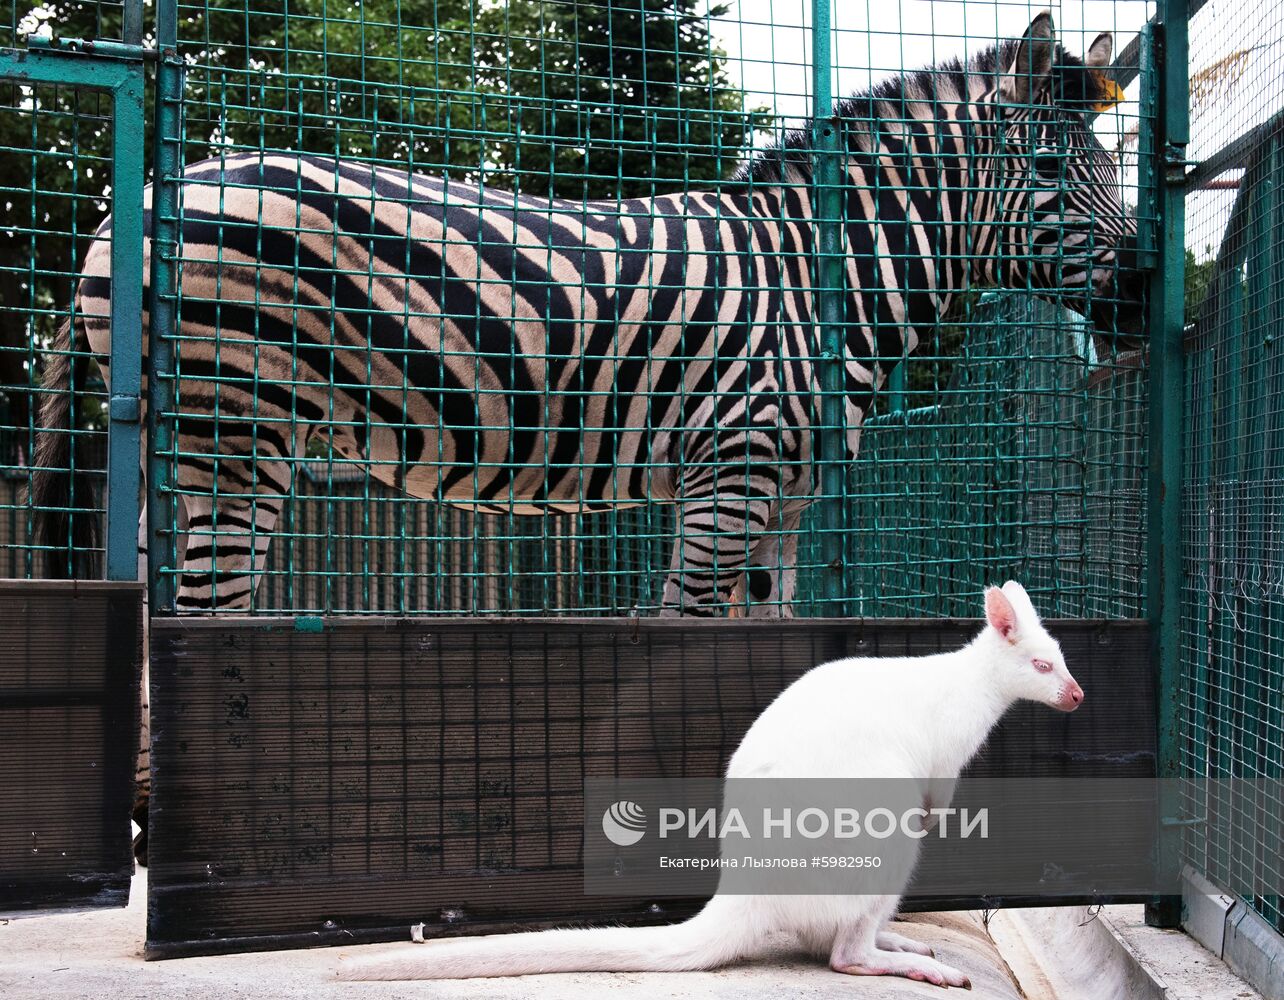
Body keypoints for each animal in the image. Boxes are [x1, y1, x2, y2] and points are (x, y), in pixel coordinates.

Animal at [30, 13, 1140, 862]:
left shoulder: (785, 497)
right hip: (238, 435)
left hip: (179, 451)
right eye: (1052, 165)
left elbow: (772, 651)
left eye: (1118, 163)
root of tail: (125, 210)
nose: (1140, 294)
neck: (818, 283)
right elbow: (691, 642)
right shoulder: (729, 474)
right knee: (203, 613)